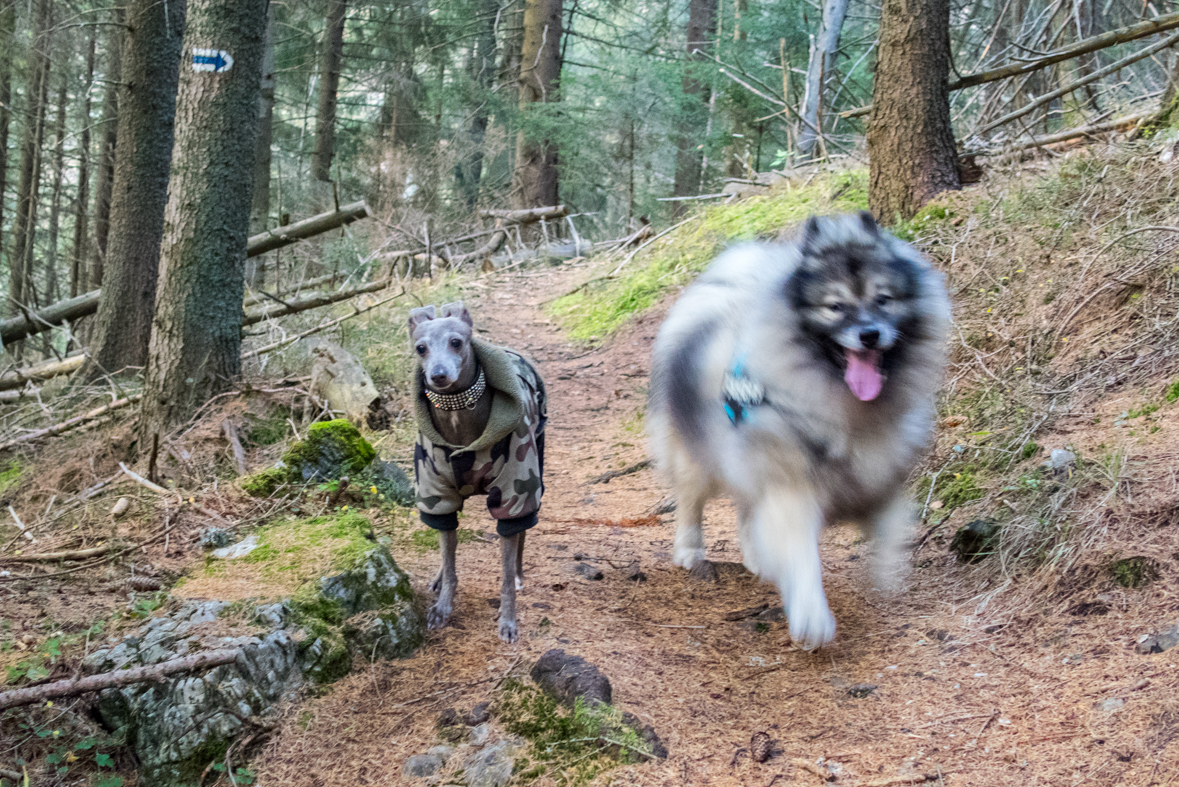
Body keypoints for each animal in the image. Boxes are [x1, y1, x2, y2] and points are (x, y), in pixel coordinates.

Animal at [410, 303, 547, 640]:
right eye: (420, 348)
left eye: (456, 342)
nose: (438, 376)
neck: (459, 420)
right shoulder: (436, 495)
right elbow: (448, 555)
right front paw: (442, 605)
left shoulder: (513, 494)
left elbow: (506, 570)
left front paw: (508, 620)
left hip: (535, 471)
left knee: (523, 531)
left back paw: (520, 574)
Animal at [650, 212, 952, 650]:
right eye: (835, 306)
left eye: (884, 299)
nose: (869, 334)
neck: (843, 409)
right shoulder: (790, 486)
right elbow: (801, 555)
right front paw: (812, 618)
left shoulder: (879, 477)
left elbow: (893, 530)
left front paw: (888, 577)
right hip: (697, 458)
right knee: (691, 504)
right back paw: (691, 552)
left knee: (746, 511)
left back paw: (757, 560)